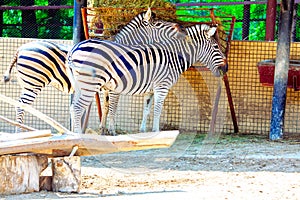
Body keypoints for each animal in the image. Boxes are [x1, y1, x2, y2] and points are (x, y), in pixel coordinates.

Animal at [2, 8, 185, 133]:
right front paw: (111, 130)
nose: (179, 26)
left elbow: (105, 107)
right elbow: (112, 107)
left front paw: (103, 129)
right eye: (159, 24)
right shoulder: (114, 87)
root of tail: (20, 49)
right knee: (21, 106)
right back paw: (20, 132)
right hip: (34, 83)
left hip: (29, 84)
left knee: (21, 105)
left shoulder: (105, 87)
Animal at [66, 23, 227, 134]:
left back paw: (73, 135)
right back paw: (79, 135)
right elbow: (158, 109)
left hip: (81, 85)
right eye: (216, 47)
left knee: (73, 107)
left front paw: (143, 131)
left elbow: (147, 109)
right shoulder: (162, 86)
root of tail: (74, 48)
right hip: (90, 85)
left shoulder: (150, 90)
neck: (173, 57)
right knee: (77, 108)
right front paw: (156, 131)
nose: (226, 69)